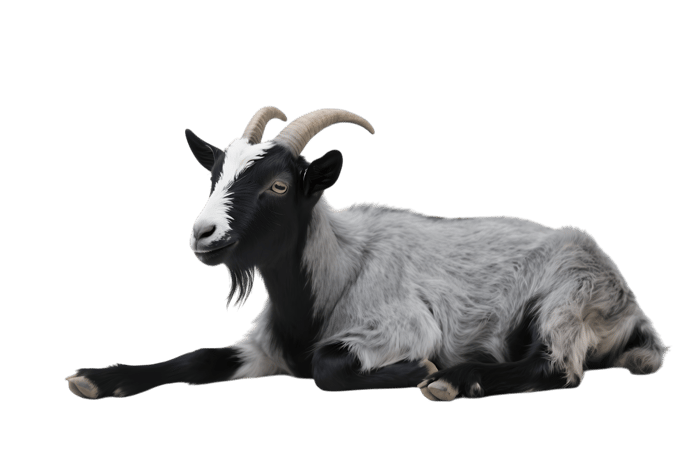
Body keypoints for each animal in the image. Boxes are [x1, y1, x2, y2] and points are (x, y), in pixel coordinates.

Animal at [65, 106, 669, 401]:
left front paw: (424, 369)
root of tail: (633, 305)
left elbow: (328, 368)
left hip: (566, 300)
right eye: (215, 175)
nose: (204, 234)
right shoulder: (261, 349)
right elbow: (196, 359)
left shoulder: (402, 326)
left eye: (279, 185)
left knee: (558, 366)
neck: (335, 275)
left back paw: (455, 381)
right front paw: (95, 378)